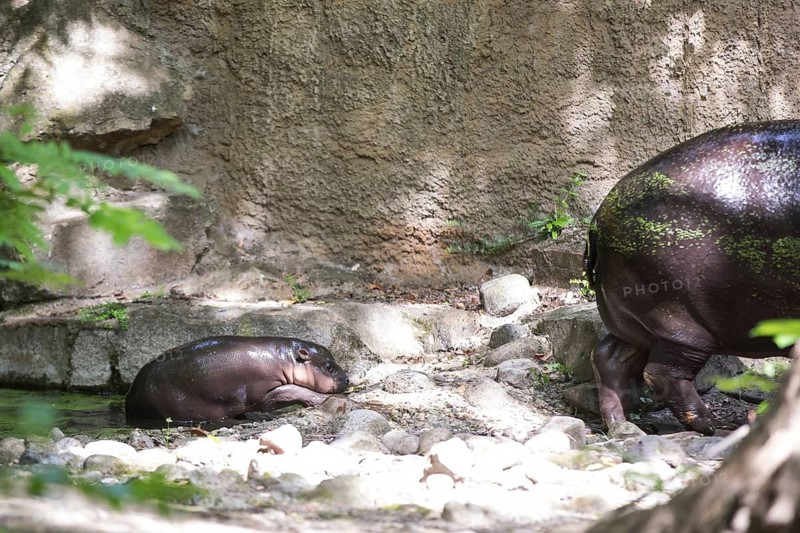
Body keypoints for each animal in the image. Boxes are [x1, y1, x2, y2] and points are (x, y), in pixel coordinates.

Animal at [125, 336, 349, 422]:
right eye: (329, 367)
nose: (347, 380)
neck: (288, 359)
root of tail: (131, 396)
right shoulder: (265, 391)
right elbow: (294, 391)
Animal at [586, 120, 800, 435]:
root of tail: (599, 216)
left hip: (637, 321)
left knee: (609, 358)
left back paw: (624, 426)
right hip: (680, 324)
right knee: (662, 373)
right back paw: (714, 425)